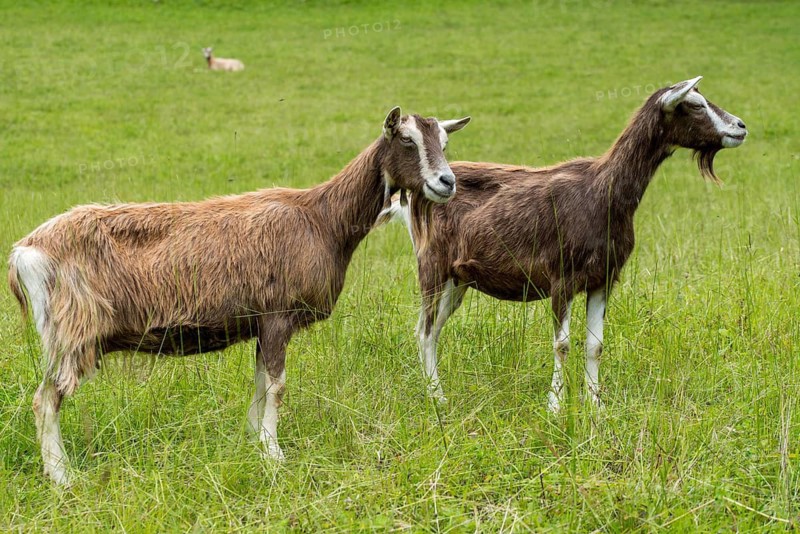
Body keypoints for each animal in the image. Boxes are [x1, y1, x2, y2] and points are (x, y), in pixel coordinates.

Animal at [8, 107, 471, 485]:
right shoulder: (279, 316)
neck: (322, 219)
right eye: (406, 139)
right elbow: (278, 387)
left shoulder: (262, 323)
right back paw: (63, 477)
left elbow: (261, 383)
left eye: (444, 142)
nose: (446, 182)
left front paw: (255, 443)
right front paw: (275, 455)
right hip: (73, 334)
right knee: (45, 399)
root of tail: (25, 252)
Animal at [385, 76, 746, 411]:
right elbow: (562, 344)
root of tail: (411, 195)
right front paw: (555, 406)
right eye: (695, 104)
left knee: (433, 330)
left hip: (458, 279)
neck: (603, 192)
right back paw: (436, 397)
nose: (740, 127)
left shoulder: (604, 279)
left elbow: (595, 345)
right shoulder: (562, 278)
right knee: (424, 330)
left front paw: (596, 404)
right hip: (431, 265)